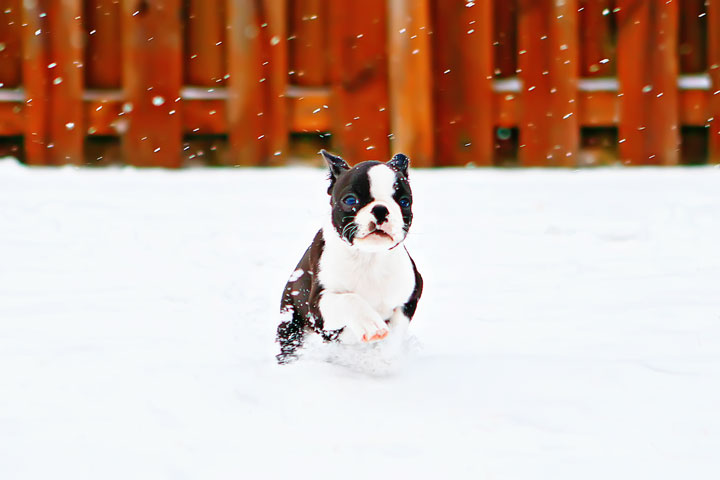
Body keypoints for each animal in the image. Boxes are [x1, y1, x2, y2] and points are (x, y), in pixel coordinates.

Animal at [276, 150, 422, 364]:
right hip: (291, 321)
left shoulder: (411, 295)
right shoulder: (319, 305)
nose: (380, 209)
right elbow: (349, 300)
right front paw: (369, 324)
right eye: (350, 200)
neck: (369, 257)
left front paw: (385, 354)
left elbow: (396, 329)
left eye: (404, 202)